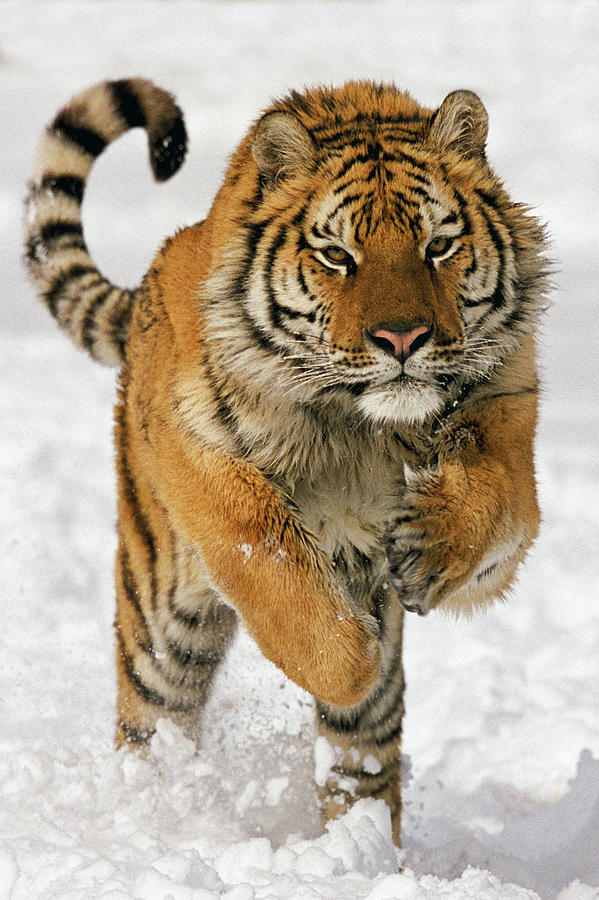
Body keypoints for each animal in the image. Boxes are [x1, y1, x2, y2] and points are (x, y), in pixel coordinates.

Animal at [22, 77, 548, 844]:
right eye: (337, 256)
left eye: (439, 245)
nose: (402, 338)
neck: (363, 426)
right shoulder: (197, 445)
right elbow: (265, 552)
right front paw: (354, 656)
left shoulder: (507, 399)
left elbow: (498, 499)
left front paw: (424, 549)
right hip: (162, 617)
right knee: (152, 720)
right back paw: (153, 808)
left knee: (360, 768)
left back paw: (365, 854)